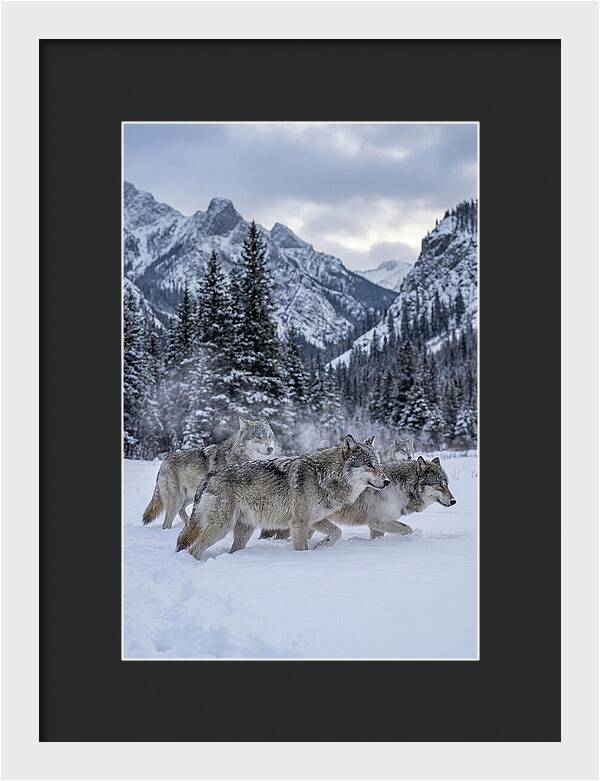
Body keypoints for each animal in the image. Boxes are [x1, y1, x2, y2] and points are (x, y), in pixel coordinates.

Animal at [142, 417, 275, 529]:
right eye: (258, 437)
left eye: (269, 436)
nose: (270, 448)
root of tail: (165, 460)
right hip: (177, 500)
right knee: (166, 523)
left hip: (190, 497)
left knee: (181, 511)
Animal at [175, 435, 389, 559]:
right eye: (368, 465)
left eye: (378, 464)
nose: (386, 481)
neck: (325, 476)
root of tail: (209, 476)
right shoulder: (299, 523)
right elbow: (302, 548)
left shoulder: (315, 520)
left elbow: (337, 532)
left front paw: (322, 546)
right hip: (221, 528)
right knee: (193, 549)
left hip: (244, 530)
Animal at [260, 456, 455, 543]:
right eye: (439, 485)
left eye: (447, 484)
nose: (454, 501)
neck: (399, 487)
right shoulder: (377, 521)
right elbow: (407, 529)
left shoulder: (376, 526)